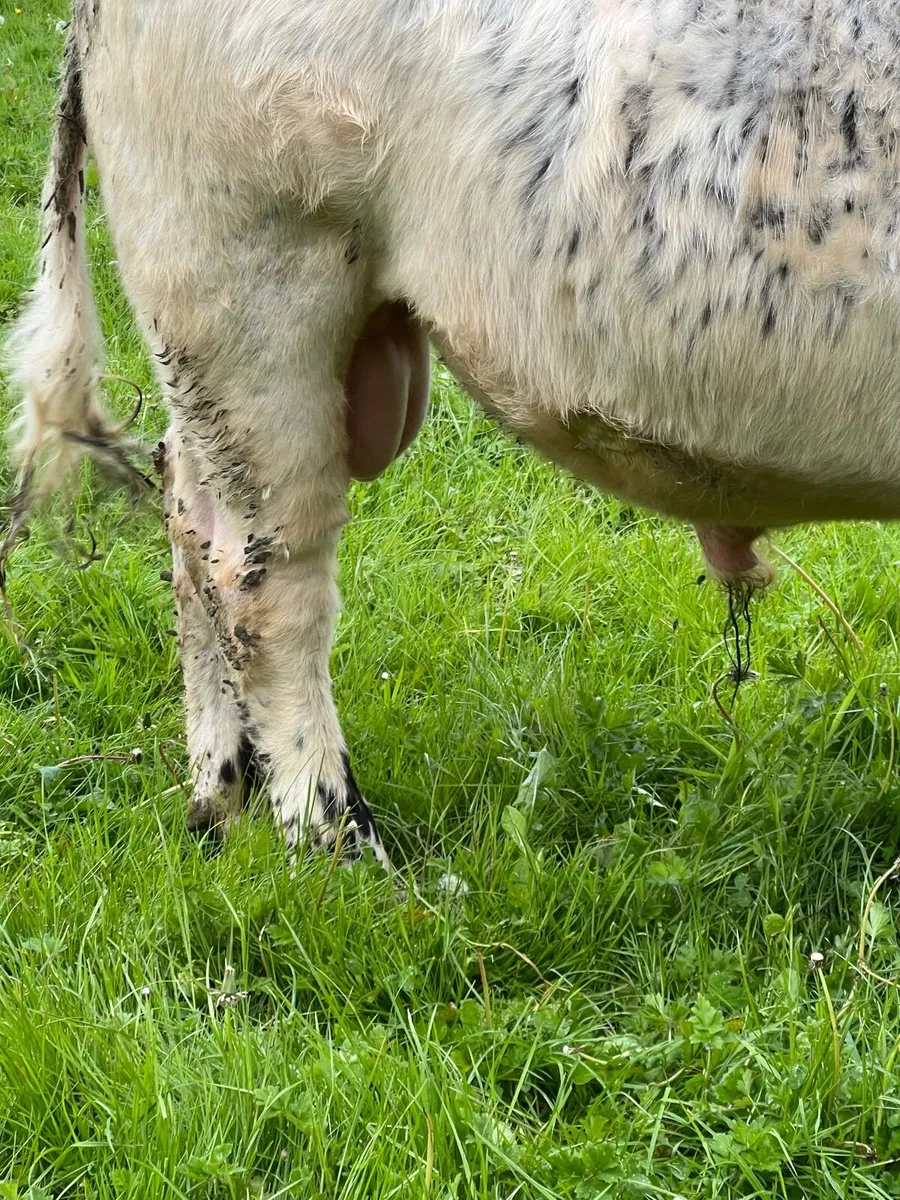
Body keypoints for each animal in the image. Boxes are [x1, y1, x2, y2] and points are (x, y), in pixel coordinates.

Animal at [5, 0, 900, 864]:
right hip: (252, 278)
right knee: (267, 582)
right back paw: (339, 843)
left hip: (205, 345)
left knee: (190, 520)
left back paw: (219, 804)